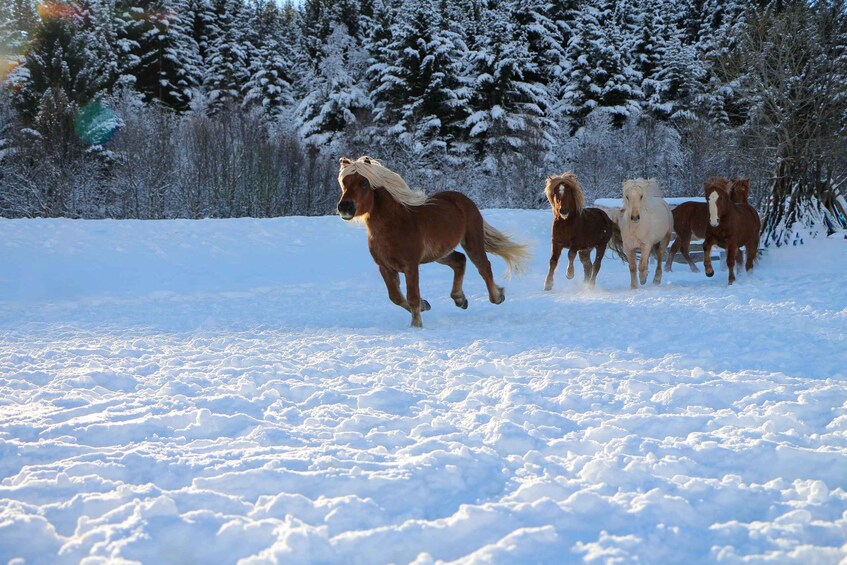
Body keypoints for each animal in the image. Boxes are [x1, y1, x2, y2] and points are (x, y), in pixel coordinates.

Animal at [334, 156, 528, 328]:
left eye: (363, 183)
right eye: (344, 182)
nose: (345, 207)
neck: (394, 224)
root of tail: (464, 199)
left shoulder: (411, 266)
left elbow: (412, 296)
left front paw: (416, 325)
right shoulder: (385, 267)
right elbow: (396, 297)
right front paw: (425, 305)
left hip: (472, 241)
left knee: (483, 266)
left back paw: (497, 297)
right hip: (440, 253)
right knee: (459, 261)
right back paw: (460, 299)